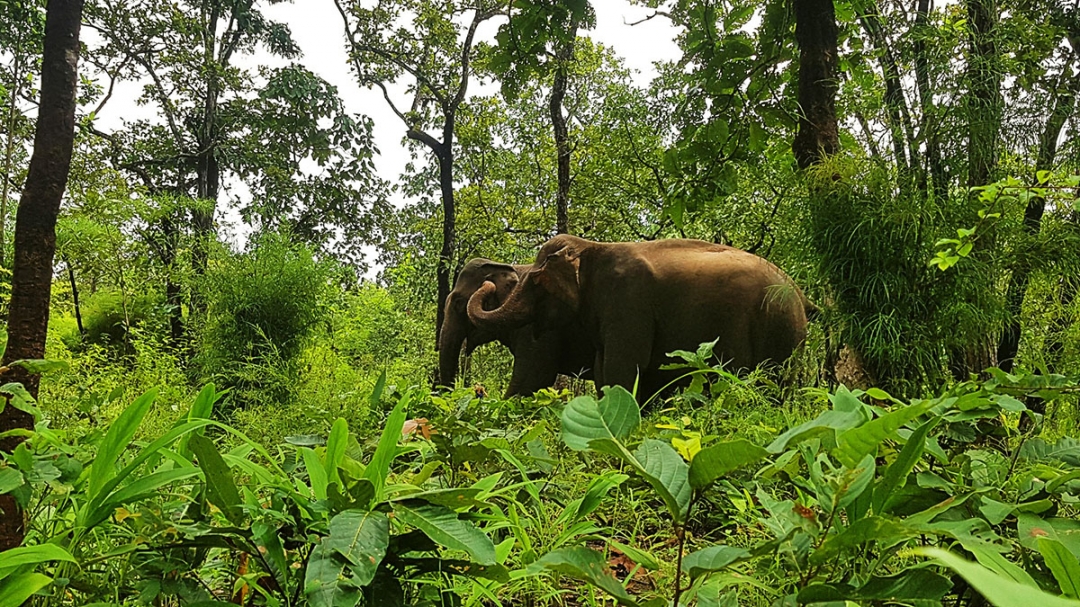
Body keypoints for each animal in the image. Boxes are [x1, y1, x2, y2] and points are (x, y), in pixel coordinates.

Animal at [468, 232, 812, 397]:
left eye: (538, 282)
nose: (487, 281)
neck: (593, 247)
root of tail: (799, 292)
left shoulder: (628, 303)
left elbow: (622, 368)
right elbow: (605, 370)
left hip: (778, 328)